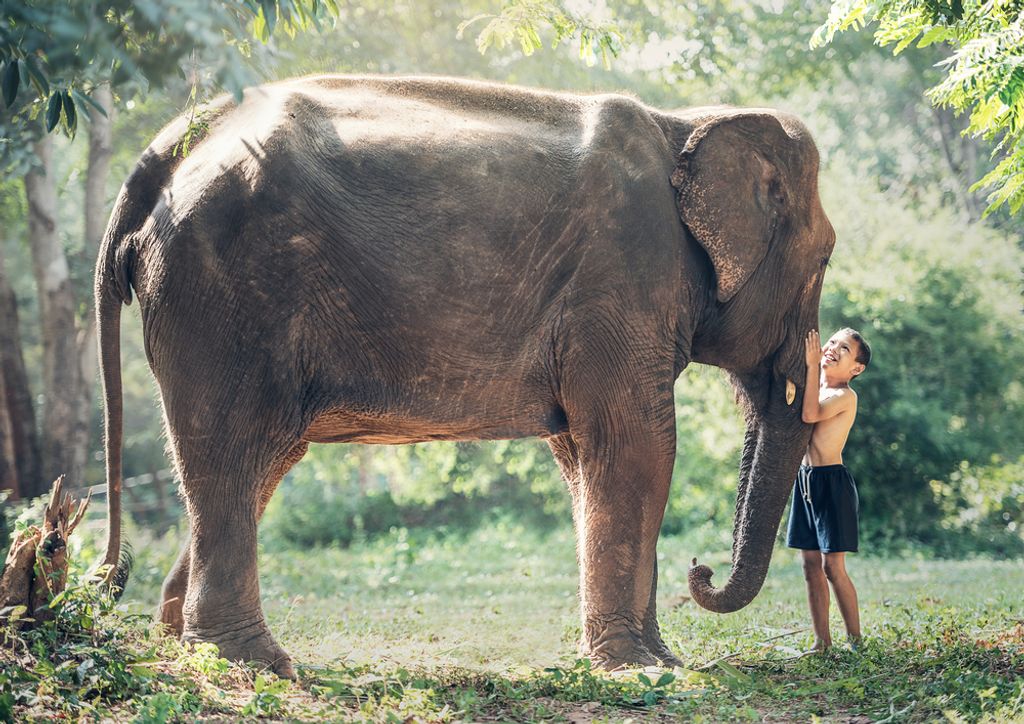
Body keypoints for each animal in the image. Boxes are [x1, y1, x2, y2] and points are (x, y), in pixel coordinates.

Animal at [93, 74, 834, 677]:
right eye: (826, 257)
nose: (701, 569)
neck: (684, 123)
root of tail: (166, 151)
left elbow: (583, 457)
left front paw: (652, 661)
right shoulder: (622, 279)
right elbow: (638, 448)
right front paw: (645, 670)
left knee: (259, 461)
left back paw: (179, 643)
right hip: (223, 293)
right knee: (235, 448)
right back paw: (254, 664)